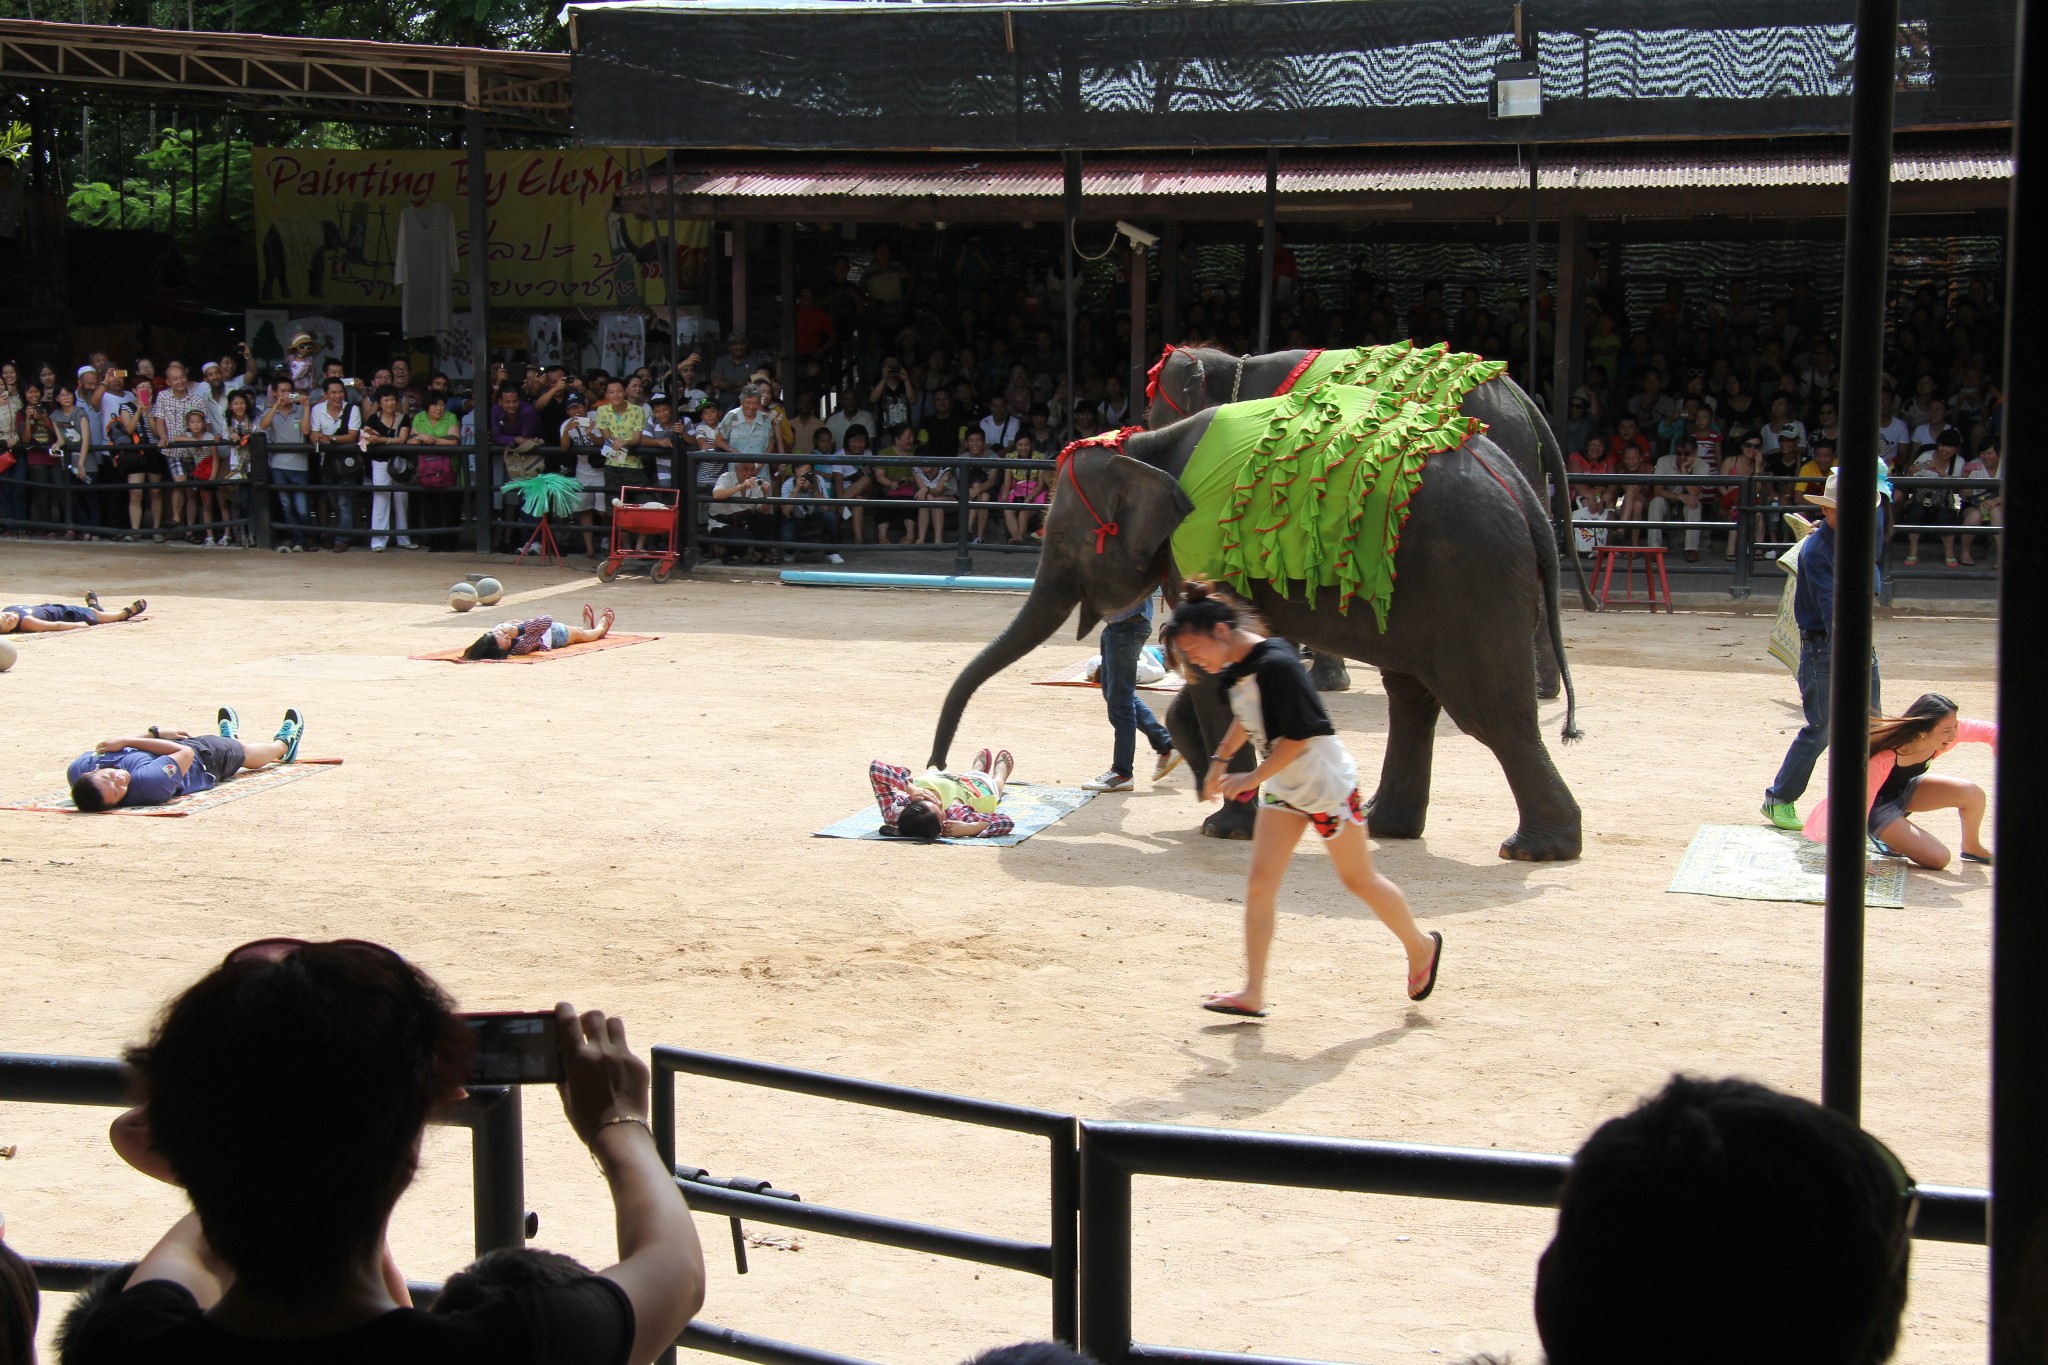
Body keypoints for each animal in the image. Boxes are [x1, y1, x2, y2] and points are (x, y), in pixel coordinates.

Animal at [929, 401, 1581, 863]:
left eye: (1059, 539)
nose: (937, 767)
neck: (1146, 448)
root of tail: (1523, 491)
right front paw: (1210, 791)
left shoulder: (1204, 550)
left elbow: (1218, 679)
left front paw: (1222, 827)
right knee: (1412, 695)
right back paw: (1386, 824)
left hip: (1473, 579)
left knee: (1487, 711)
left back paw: (1534, 849)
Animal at [1146, 341, 1589, 703]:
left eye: (1155, 417)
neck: (1236, 364)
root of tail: (1525, 401)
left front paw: (1317, 679)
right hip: (1527, 472)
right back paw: (1543, 689)